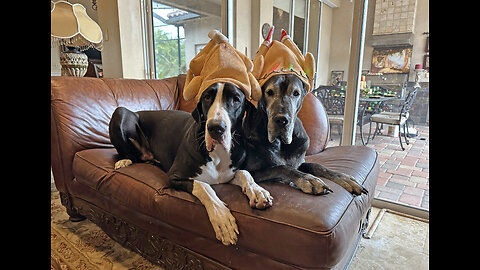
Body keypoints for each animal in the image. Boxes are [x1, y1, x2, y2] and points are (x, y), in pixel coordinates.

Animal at [109, 81, 274, 245]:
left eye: (236, 100)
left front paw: (258, 192)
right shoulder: (175, 176)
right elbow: (204, 186)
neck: (218, 153)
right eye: (207, 97)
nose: (216, 128)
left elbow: (244, 173)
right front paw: (222, 218)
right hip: (120, 112)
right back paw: (125, 160)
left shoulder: (229, 174)